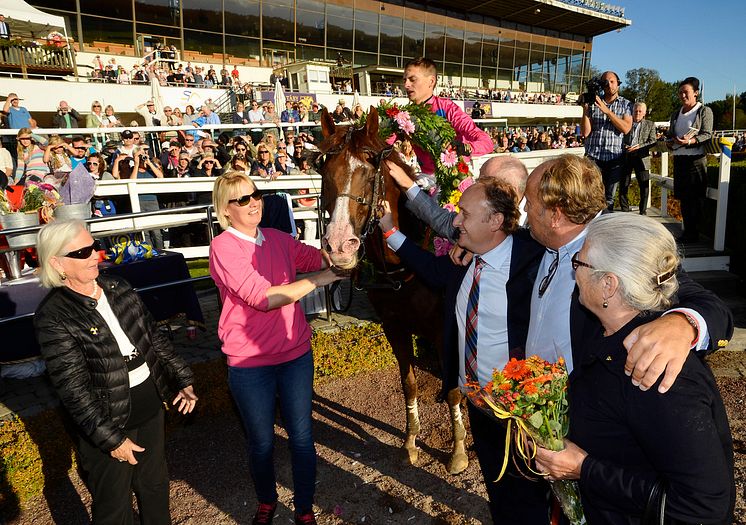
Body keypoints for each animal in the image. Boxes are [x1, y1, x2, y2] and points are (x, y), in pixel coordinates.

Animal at [316, 107, 468, 474]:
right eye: (324, 169)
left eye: (371, 169)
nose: (339, 245)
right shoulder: (394, 326)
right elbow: (408, 383)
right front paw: (411, 441)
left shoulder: (445, 330)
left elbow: (453, 389)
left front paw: (458, 450)